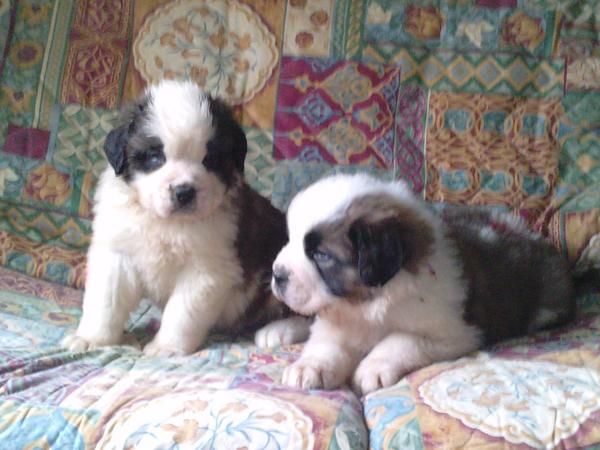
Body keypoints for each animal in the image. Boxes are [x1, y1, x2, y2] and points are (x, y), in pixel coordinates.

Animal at [63, 80, 310, 356]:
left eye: (210, 159)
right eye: (155, 158)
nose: (184, 192)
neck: (165, 223)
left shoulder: (205, 270)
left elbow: (182, 313)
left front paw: (166, 347)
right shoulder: (118, 254)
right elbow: (106, 302)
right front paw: (92, 339)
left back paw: (277, 331)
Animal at [274, 172, 580, 394]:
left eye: (321, 255)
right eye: (289, 239)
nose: (277, 274)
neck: (365, 306)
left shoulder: (454, 332)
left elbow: (402, 339)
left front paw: (372, 368)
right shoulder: (336, 323)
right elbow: (325, 344)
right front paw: (309, 367)